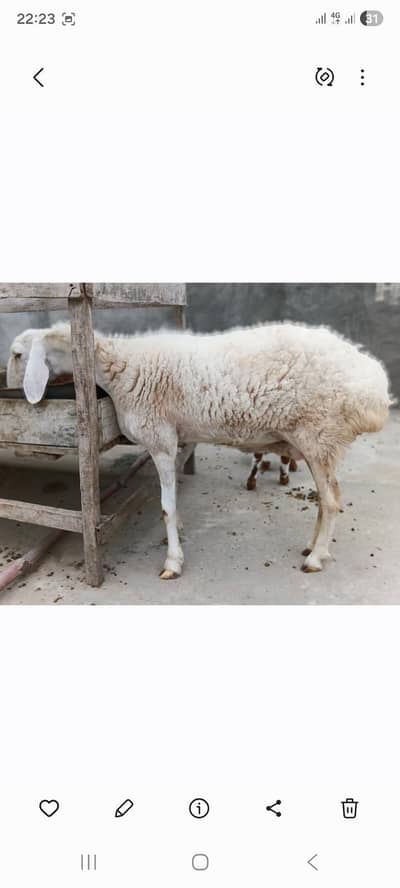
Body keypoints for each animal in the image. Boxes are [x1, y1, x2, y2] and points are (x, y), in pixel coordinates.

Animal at [7, 321, 392, 578]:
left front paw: (173, 562)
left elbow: (165, 507)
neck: (121, 368)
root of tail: (375, 390)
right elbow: (171, 499)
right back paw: (312, 547)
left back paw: (315, 558)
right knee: (327, 502)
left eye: (17, 354)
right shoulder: (178, 438)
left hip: (319, 436)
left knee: (331, 502)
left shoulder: (160, 438)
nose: (12, 391)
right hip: (319, 444)